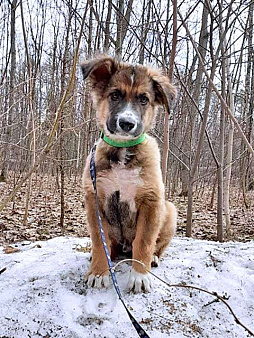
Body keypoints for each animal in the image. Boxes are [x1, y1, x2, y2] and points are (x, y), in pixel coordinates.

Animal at [81, 56, 177, 294]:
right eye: (115, 95)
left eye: (144, 99)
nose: (127, 123)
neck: (122, 150)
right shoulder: (94, 199)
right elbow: (99, 240)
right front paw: (99, 272)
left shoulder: (151, 201)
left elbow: (144, 242)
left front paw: (139, 276)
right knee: (110, 246)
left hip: (170, 210)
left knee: (157, 246)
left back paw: (154, 258)